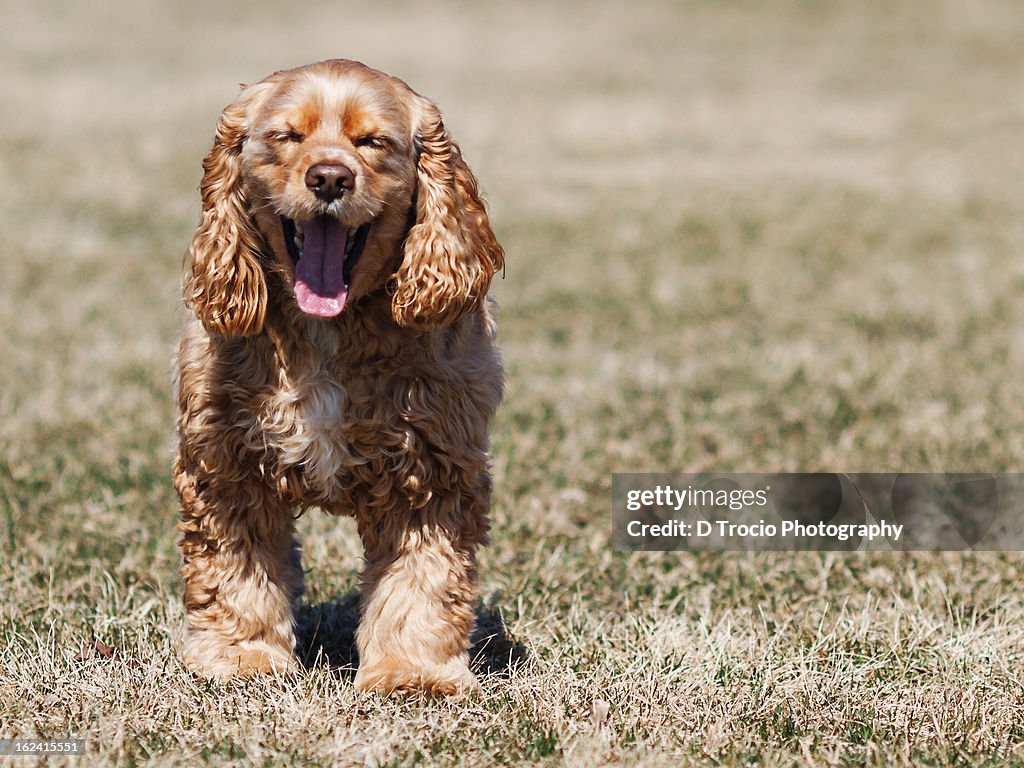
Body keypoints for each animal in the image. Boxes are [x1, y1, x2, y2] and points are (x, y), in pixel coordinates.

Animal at [174, 60, 505, 696]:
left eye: (371, 142)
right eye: (287, 136)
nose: (329, 178)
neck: (329, 328)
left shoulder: (432, 469)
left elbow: (422, 581)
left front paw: (411, 672)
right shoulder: (225, 463)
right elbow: (235, 572)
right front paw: (242, 658)